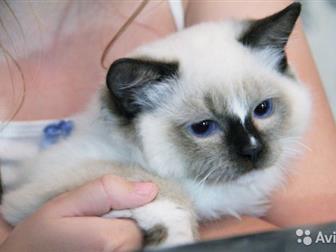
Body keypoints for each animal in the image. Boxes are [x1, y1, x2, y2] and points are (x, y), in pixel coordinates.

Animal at [0, 2, 310, 248]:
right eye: (203, 127)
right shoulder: (39, 192)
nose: (252, 150)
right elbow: (151, 184)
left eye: (262, 110)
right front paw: (174, 238)